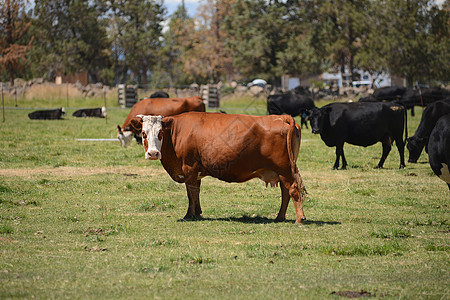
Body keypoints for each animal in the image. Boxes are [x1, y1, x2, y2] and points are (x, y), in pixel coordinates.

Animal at [130, 112, 306, 223]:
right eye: (144, 133)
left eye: (160, 133)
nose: (153, 153)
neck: (175, 133)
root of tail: (281, 117)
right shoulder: (196, 171)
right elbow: (195, 192)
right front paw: (198, 213)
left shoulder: (189, 168)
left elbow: (191, 193)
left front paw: (189, 215)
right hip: (283, 171)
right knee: (285, 192)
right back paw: (280, 217)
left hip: (284, 170)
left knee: (293, 190)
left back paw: (299, 218)